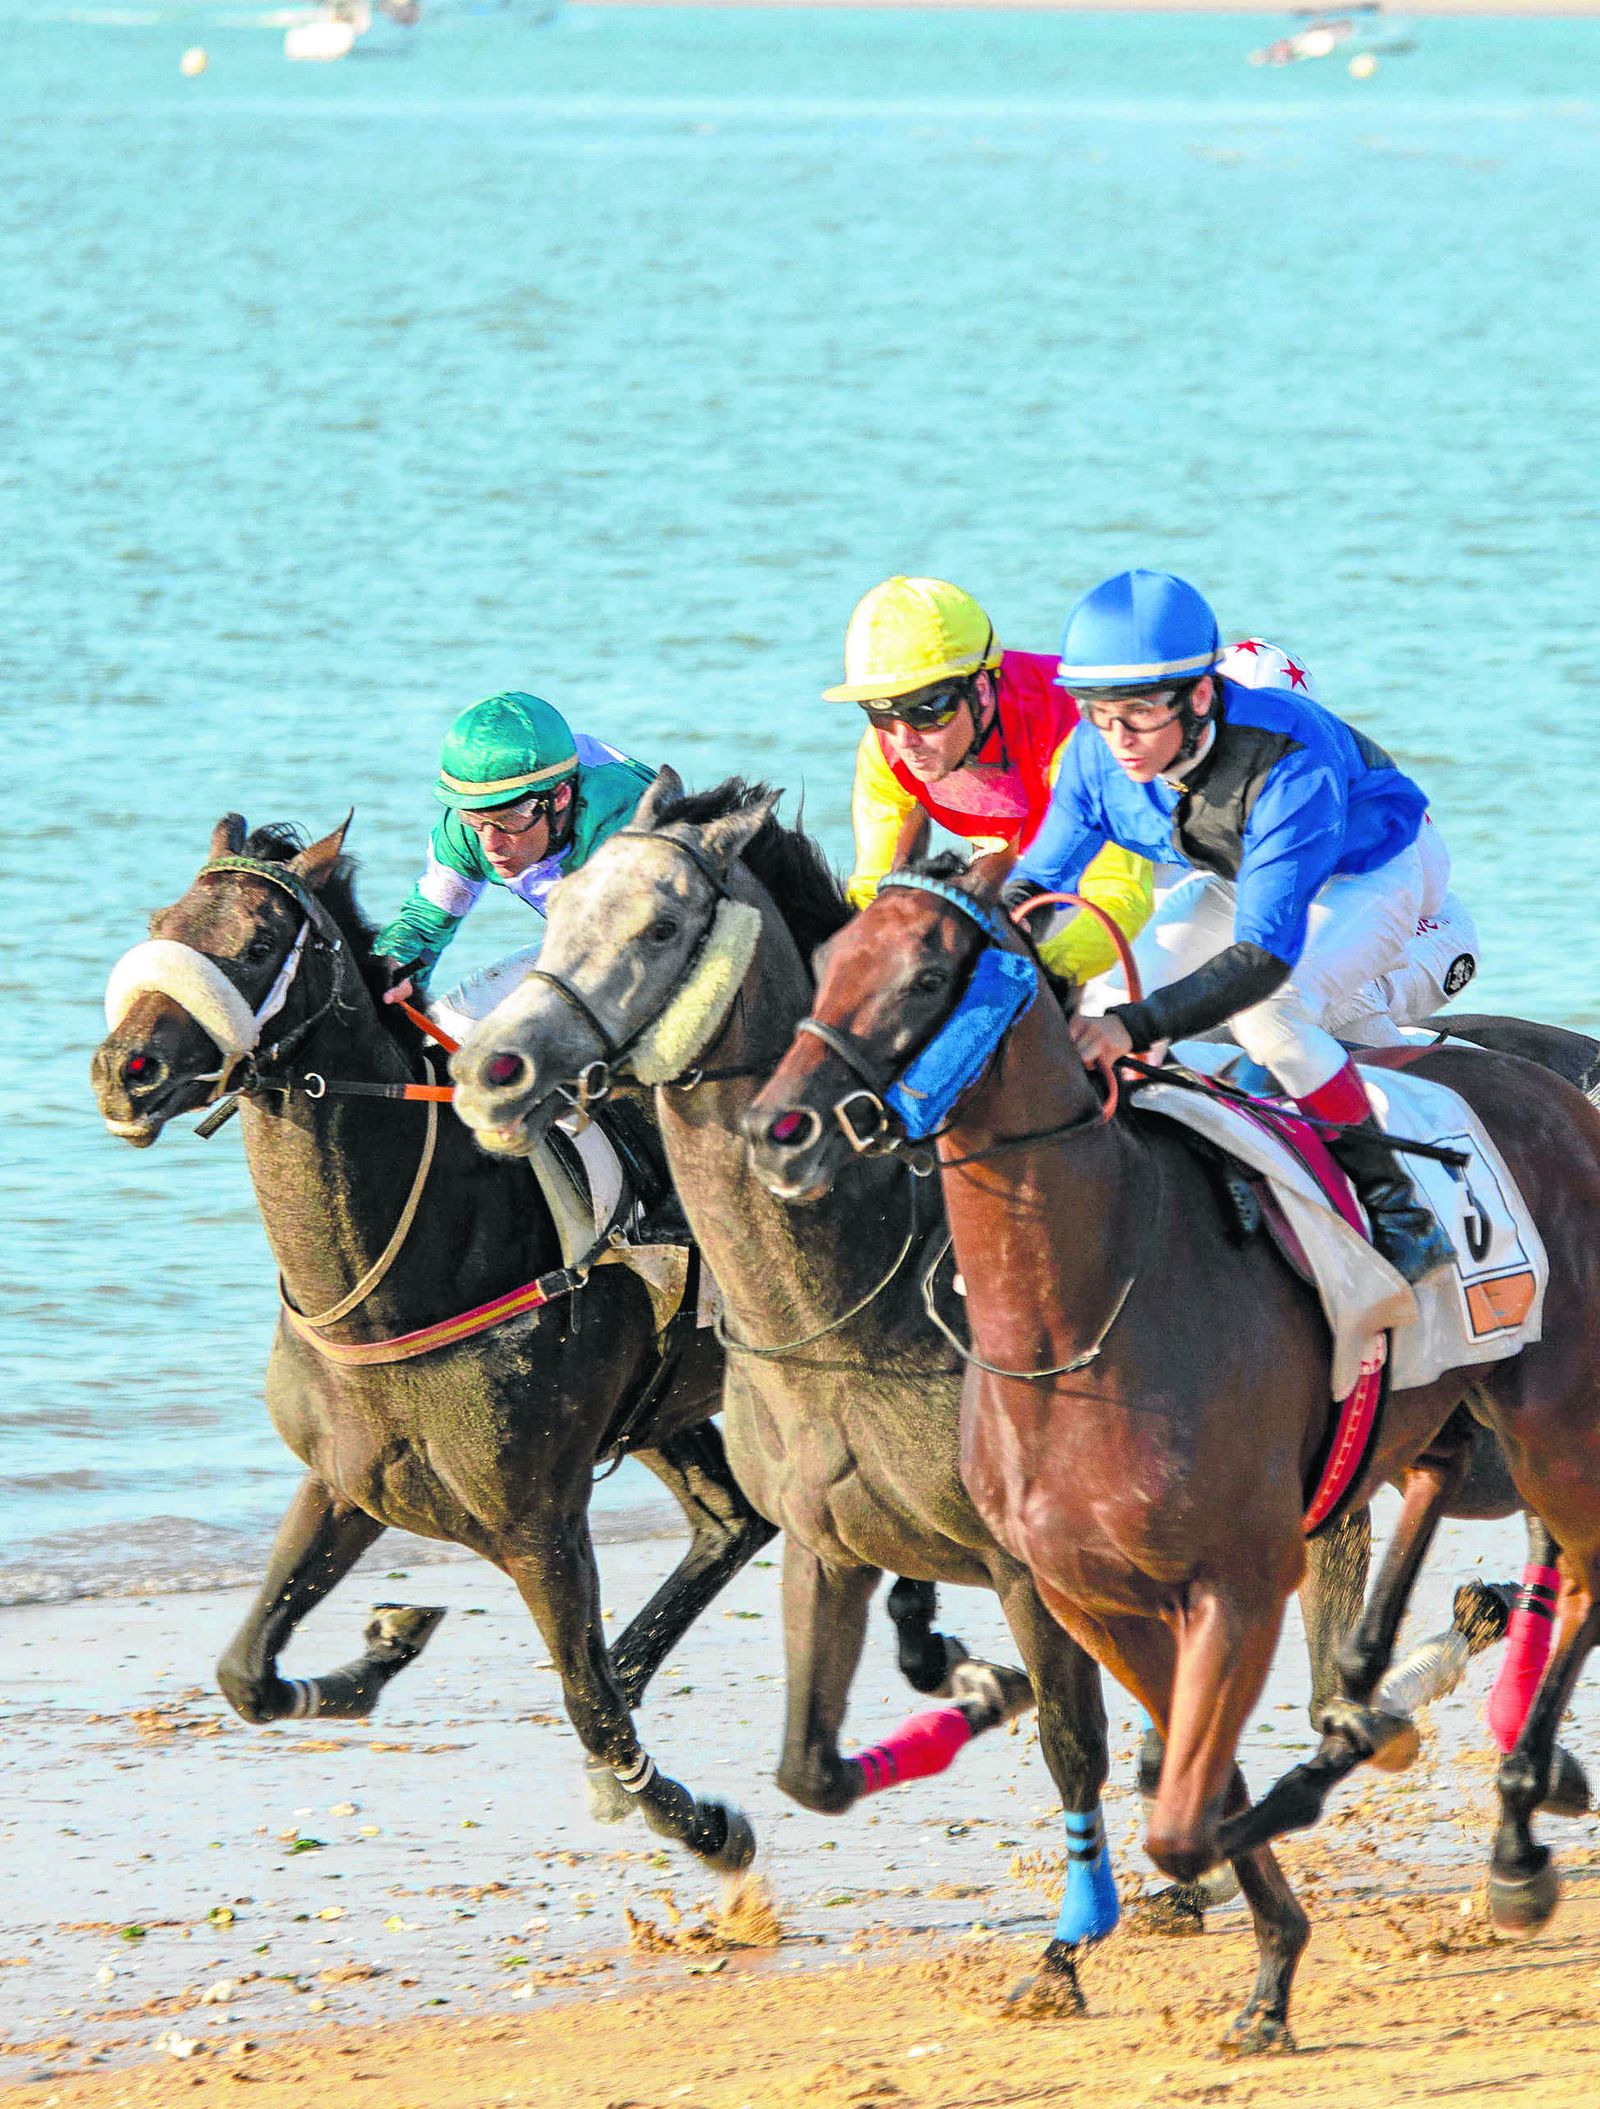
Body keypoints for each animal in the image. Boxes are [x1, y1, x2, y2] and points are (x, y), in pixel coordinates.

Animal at [91, 813, 785, 1873]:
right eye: (161, 921)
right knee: (734, 1521)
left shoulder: (540, 1520)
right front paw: (388, 1641)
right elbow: (247, 1670)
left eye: (259, 942)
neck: (404, 1274)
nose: (126, 1070)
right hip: (662, 1409)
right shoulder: (346, 1477)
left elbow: (589, 1705)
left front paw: (706, 1825)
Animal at [448, 774, 1140, 2005]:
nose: (496, 1068)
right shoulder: (829, 1542)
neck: (857, 1302)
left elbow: (1076, 1735)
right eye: (557, 905)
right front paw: (975, 1692)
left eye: (660, 926)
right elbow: (811, 1766)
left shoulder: (1031, 1561)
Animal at [744, 852, 1600, 2049]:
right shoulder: (1091, 1596)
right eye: (826, 960)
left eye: (925, 975)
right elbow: (1194, 1781)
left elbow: (1186, 1824)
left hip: (1554, 1418)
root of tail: (1561, 1091)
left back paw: (1513, 1829)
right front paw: (1270, 1971)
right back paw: (1397, 1703)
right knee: (1451, 1500)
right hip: (1454, 1406)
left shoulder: (1235, 1580)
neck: (1081, 1314)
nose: (778, 1127)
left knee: (1581, 1569)